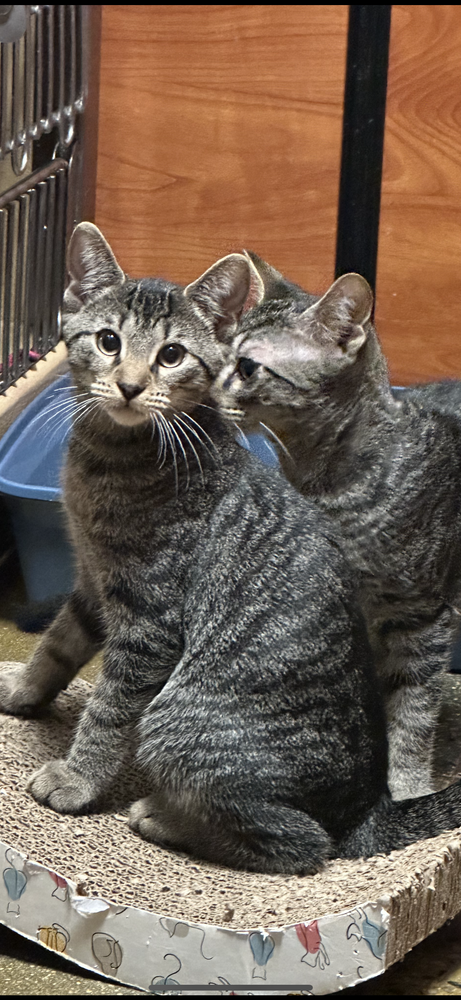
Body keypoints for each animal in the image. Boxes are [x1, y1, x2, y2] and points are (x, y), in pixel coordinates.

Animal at [213, 254, 461, 800]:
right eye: (220, 352)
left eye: (247, 367)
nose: (207, 388)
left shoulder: (419, 616)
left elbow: (413, 714)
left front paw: (406, 790)